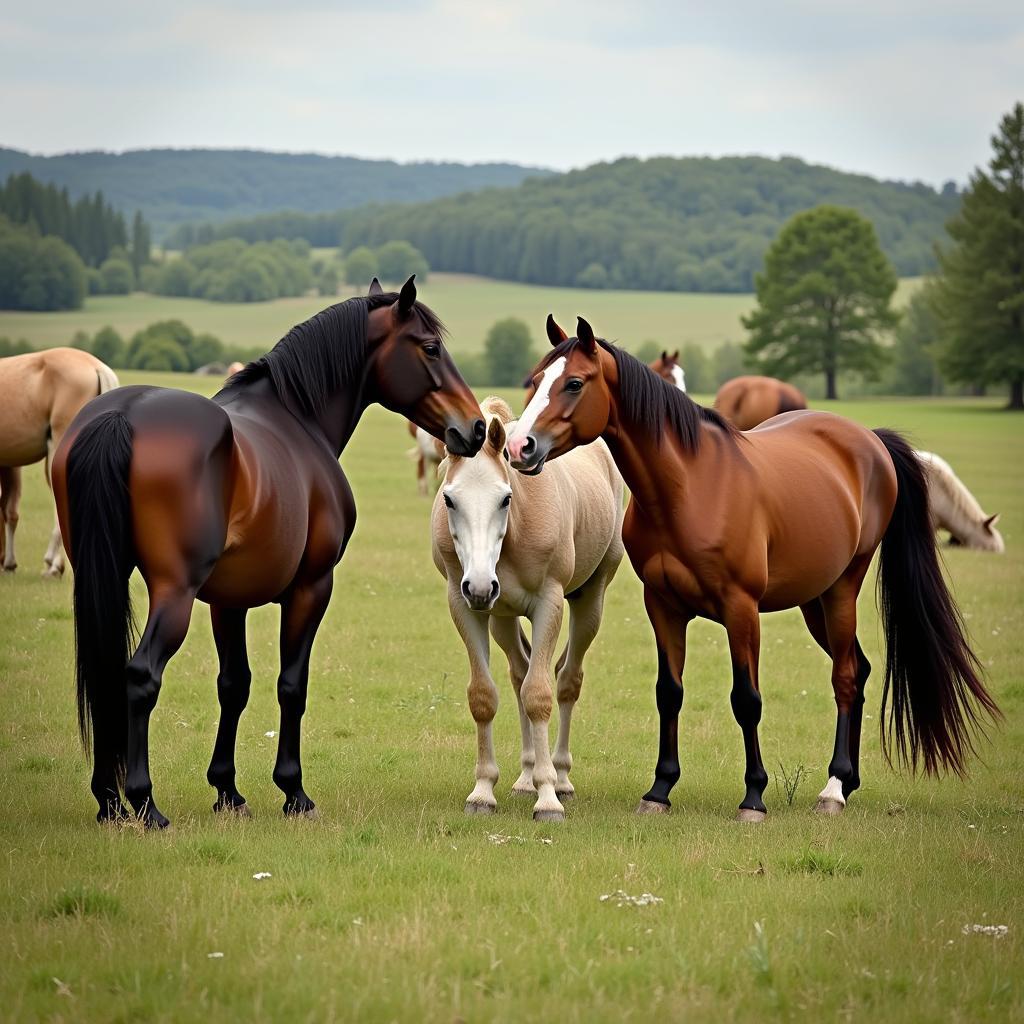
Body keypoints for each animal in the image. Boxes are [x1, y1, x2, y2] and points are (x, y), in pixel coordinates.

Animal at [47, 276, 479, 827]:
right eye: (429, 348)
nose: (476, 428)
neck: (296, 417)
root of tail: (121, 415)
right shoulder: (311, 587)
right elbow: (291, 684)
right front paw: (293, 791)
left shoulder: (226, 601)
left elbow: (234, 685)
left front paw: (227, 791)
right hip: (174, 592)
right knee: (141, 675)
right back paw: (144, 803)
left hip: (101, 577)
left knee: (106, 673)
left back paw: (109, 801)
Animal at [432, 395, 622, 819]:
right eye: (449, 499)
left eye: (506, 498)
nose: (480, 585)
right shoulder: (464, 604)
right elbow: (484, 696)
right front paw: (483, 791)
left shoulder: (548, 604)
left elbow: (539, 695)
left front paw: (548, 798)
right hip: (501, 618)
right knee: (519, 674)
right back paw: (525, 777)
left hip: (590, 600)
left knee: (567, 681)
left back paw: (561, 778)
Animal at [505, 315, 999, 819]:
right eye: (535, 379)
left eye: (574, 383)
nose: (518, 446)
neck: (690, 487)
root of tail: (869, 439)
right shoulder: (662, 606)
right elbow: (669, 693)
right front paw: (660, 789)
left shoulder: (741, 610)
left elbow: (747, 699)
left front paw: (754, 797)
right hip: (813, 600)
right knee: (859, 669)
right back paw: (849, 779)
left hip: (842, 589)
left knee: (844, 675)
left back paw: (833, 788)